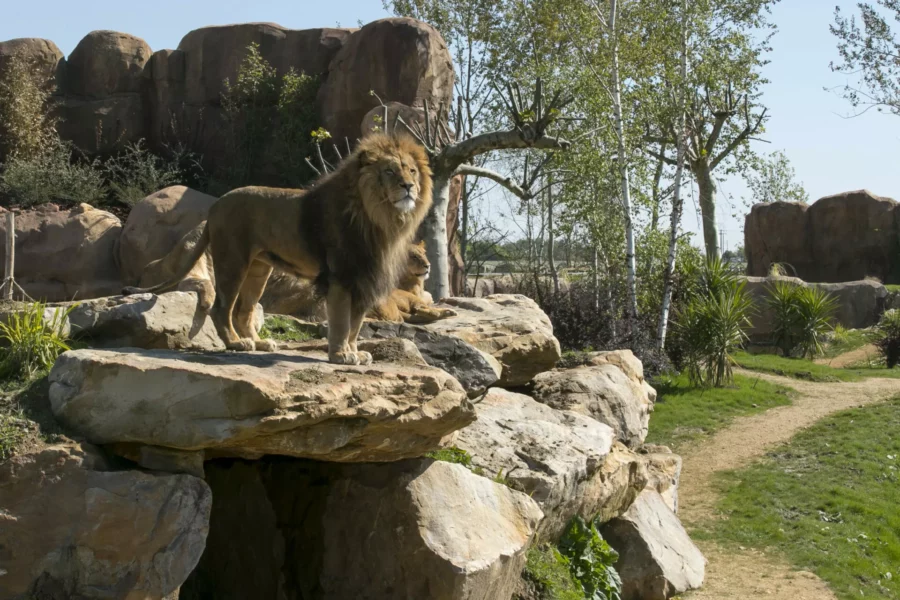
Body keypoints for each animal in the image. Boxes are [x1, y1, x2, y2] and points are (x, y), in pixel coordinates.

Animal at [125, 132, 434, 366]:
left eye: (412, 170)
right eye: (390, 171)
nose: (409, 186)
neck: (381, 218)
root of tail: (215, 206)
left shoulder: (363, 280)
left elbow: (355, 325)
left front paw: (355, 353)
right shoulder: (340, 278)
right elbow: (341, 322)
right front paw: (340, 355)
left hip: (259, 269)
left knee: (244, 310)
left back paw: (259, 342)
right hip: (232, 262)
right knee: (221, 308)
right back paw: (237, 344)